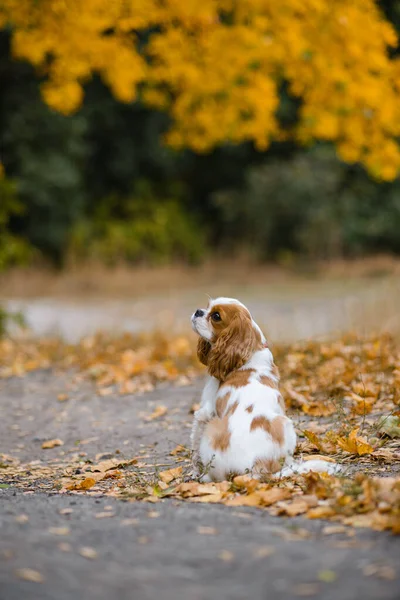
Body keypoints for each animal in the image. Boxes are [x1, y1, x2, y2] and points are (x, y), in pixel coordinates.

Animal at [191, 298, 338, 482]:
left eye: (216, 316)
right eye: (207, 306)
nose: (198, 311)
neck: (250, 354)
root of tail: (255, 470)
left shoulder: (205, 411)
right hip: (285, 424)